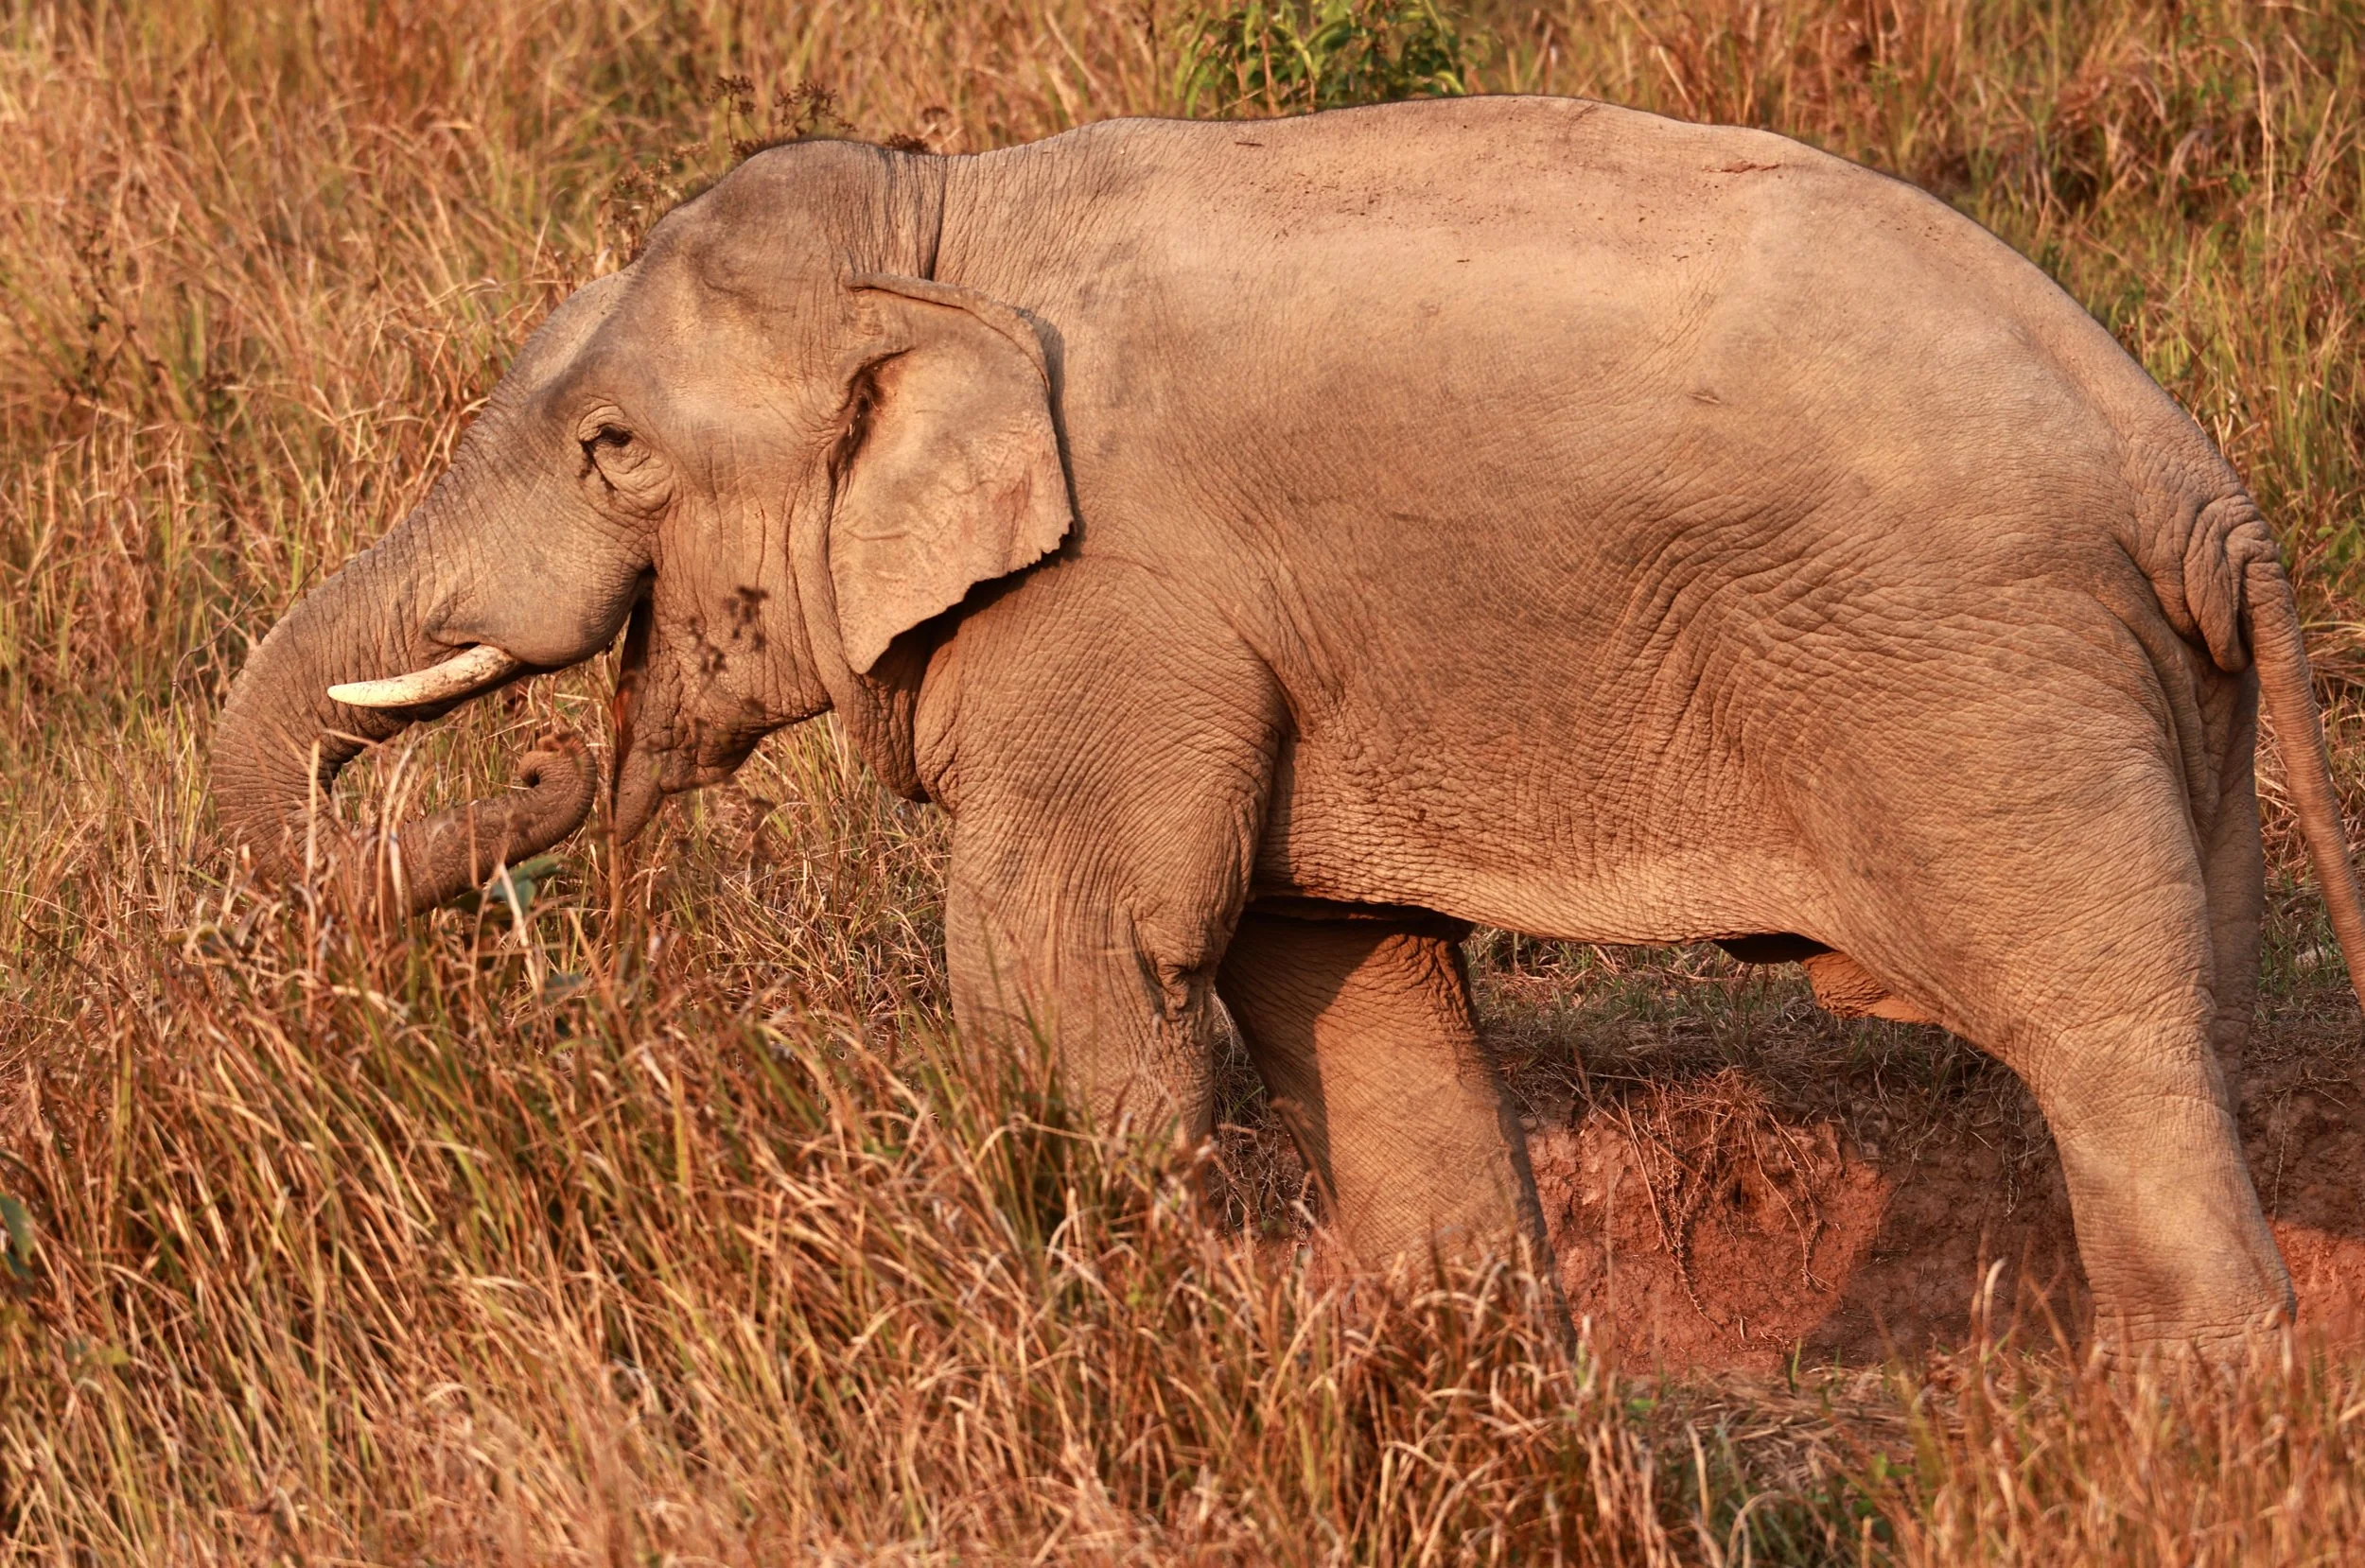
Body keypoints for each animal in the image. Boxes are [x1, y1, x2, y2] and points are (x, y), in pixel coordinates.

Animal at [211, 94, 2365, 1350]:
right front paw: (1458, 1373)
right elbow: (1336, 970)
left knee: (2111, 1052)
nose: (542, 761)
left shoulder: (1116, 598)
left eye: (611, 447)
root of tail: (2196, 478)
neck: (949, 224)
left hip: (1982, 682)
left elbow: (1074, 982)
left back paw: (2189, 1423)